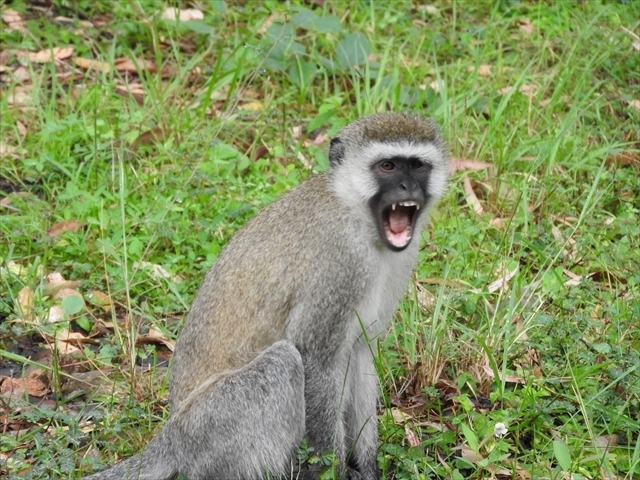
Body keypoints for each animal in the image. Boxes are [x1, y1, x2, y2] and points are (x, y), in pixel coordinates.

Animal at [82, 113, 448, 480]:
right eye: (387, 166)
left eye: (417, 166)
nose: (408, 188)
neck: (356, 215)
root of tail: (173, 439)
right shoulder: (339, 264)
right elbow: (316, 360)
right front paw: (331, 470)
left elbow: (359, 352)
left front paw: (368, 467)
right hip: (211, 427)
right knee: (282, 363)